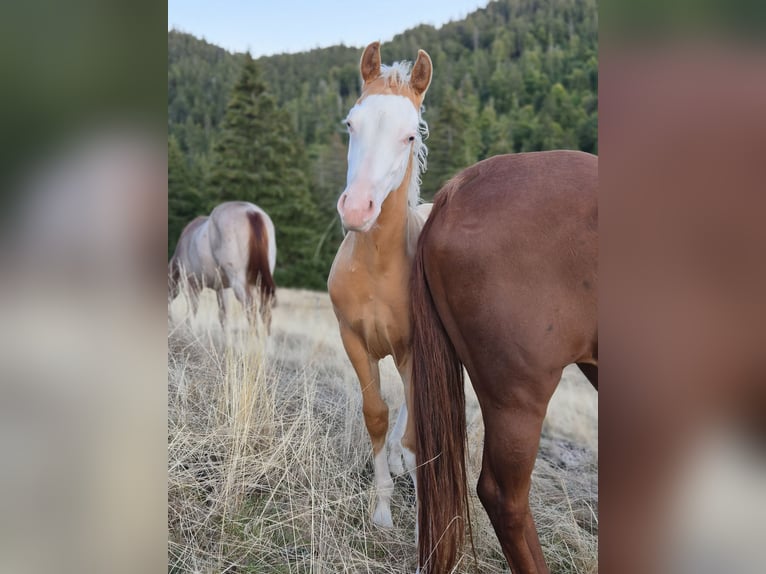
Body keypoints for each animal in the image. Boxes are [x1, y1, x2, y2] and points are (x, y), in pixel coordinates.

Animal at [169, 201, 276, 331]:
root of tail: (251, 212)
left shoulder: (192, 284)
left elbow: (191, 315)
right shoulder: (223, 288)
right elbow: (224, 317)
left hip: (239, 283)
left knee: (251, 310)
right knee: (265, 311)